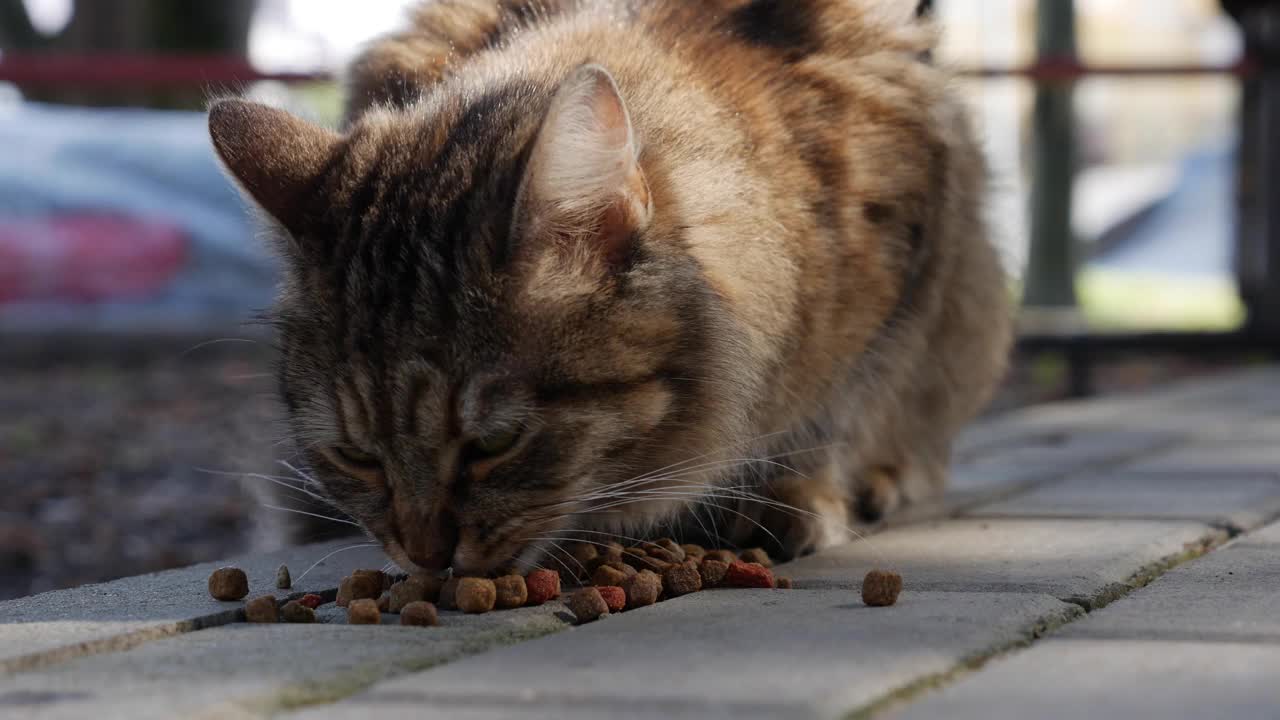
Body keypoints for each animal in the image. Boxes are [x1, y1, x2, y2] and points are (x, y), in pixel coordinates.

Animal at [209, 0, 1008, 573]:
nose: (426, 559)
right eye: (357, 457)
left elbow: (835, 408)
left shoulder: (908, 260)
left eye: (494, 443)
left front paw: (793, 492)